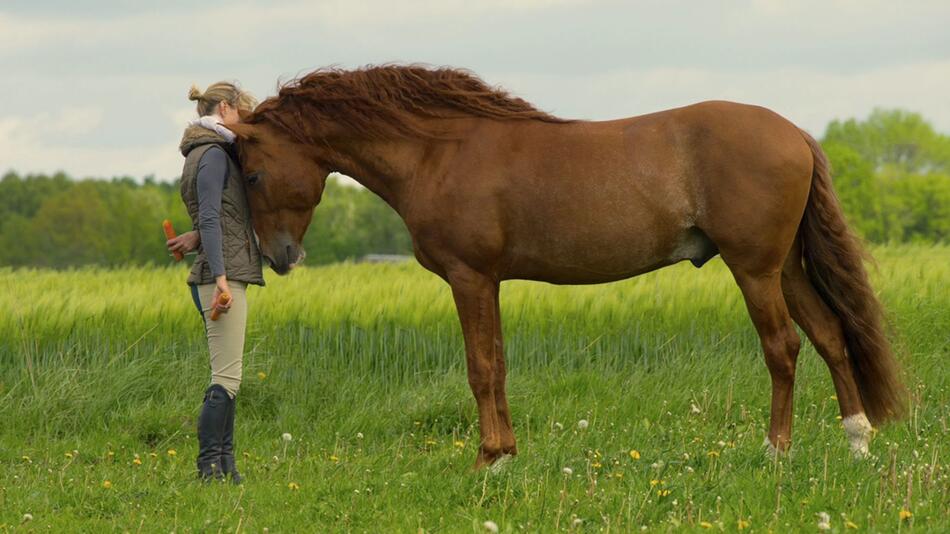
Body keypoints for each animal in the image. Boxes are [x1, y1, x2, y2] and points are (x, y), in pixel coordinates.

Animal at [225, 66, 908, 468]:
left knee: (783, 347)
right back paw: (856, 441)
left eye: (252, 173)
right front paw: (505, 454)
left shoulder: (470, 278)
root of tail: (794, 132)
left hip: (755, 270)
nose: (280, 258)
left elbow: (479, 369)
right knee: (830, 336)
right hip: (785, 266)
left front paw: (488, 459)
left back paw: (775, 452)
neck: (438, 152)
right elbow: (498, 365)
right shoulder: (491, 283)